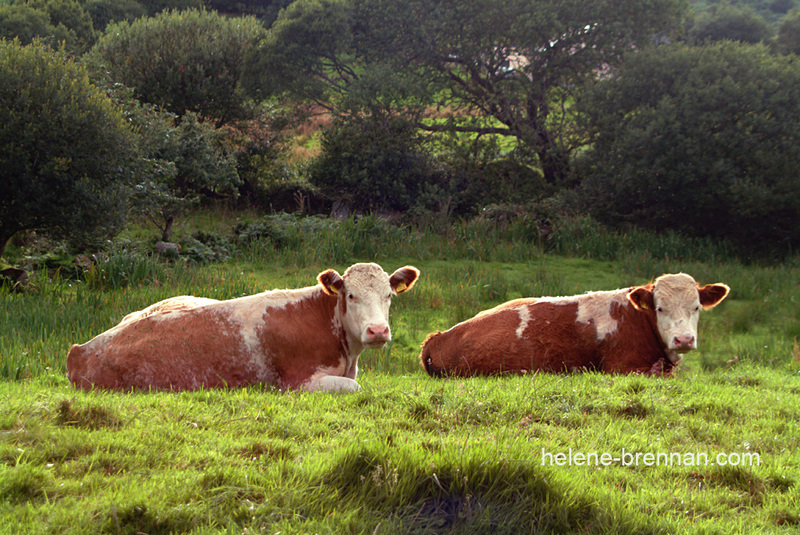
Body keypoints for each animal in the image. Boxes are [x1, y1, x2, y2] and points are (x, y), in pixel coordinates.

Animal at [67, 263, 419, 392]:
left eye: (389, 295)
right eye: (350, 295)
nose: (377, 331)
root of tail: (79, 350)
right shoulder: (301, 381)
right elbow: (356, 388)